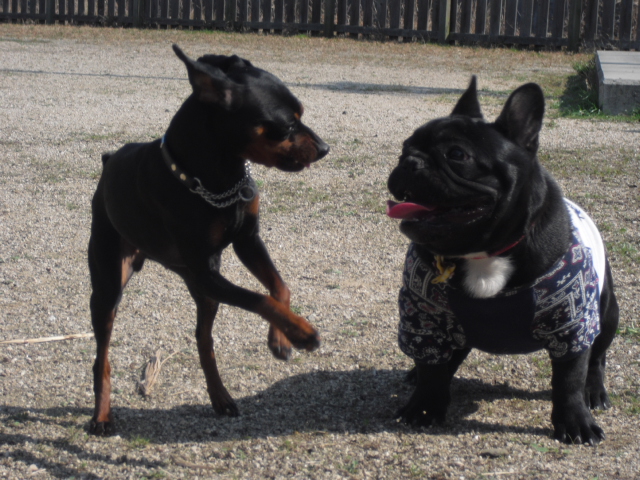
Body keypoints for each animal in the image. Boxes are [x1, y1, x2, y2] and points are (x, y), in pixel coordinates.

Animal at [87, 45, 329, 435]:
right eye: (287, 125)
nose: (324, 148)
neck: (217, 178)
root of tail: (109, 160)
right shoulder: (206, 270)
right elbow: (261, 297)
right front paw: (302, 332)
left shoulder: (246, 241)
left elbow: (280, 288)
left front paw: (280, 338)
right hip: (110, 286)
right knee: (102, 356)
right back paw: (102, 416)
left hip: (204, 291)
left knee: (204, 340)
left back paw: (220, 397)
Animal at [386, 77, 618, 445]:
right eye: (405, 146)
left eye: (457, 155)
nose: (410, 161)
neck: (483, 253)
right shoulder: (424, 318)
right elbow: (431, 370)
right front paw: (423, 408)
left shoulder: (571, 321)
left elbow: (569, 380)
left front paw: (576, 422)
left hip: (607, 313)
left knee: (596, 357)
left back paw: (594, 393)